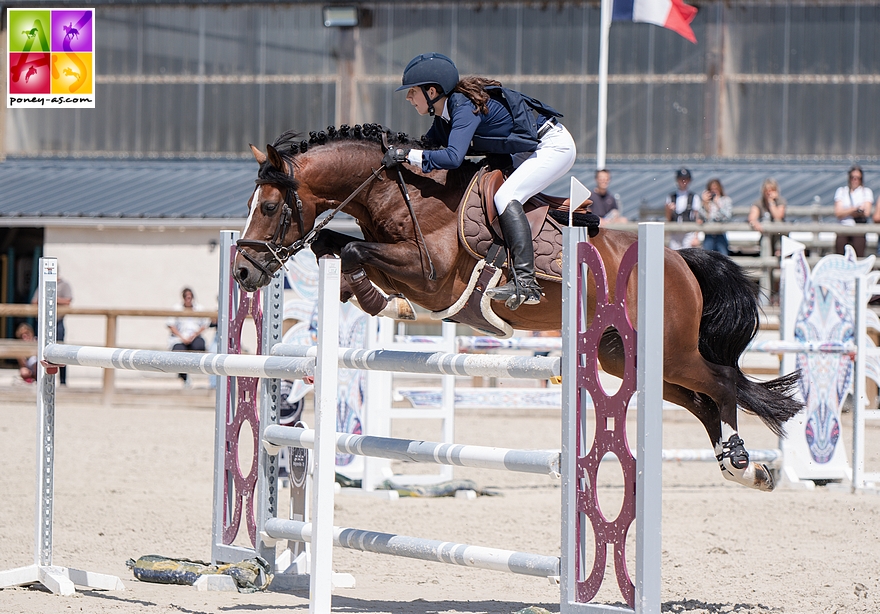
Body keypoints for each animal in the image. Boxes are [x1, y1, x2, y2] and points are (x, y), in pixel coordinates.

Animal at [235, 127, 804, 494]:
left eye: (270, 207)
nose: (242, 272)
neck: (398, 193)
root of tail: (679, 258)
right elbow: (331, 243)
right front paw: (365, 294)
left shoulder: (430, 276)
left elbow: (353, 249)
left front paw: (384, 301)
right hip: (625, 358)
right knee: (703, 400)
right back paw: (745, 469)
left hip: (671, 352)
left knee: (723, 383)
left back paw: (742, 461)